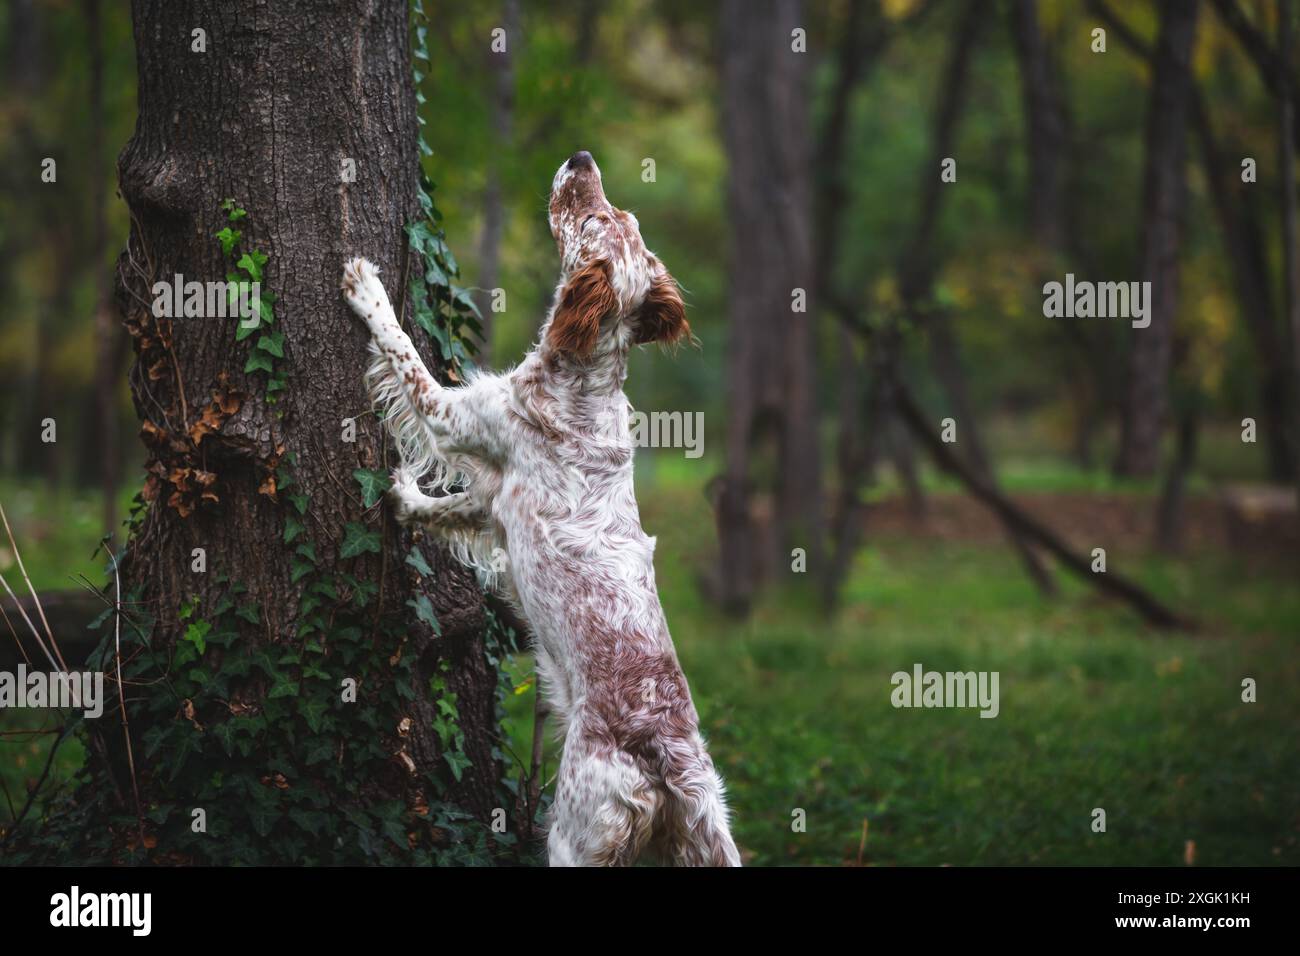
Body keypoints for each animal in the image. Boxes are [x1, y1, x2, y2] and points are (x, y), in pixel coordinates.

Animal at [340, 149, 738, 868]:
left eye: (591, 221)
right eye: (615, 214)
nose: (582, 158)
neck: (587, 380)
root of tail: (666, 761)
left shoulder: (454, 418)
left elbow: (406, 357)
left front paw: (366, 288)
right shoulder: (493, 500)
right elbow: (447, 508)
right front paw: (408, 502)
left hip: (571, 833)